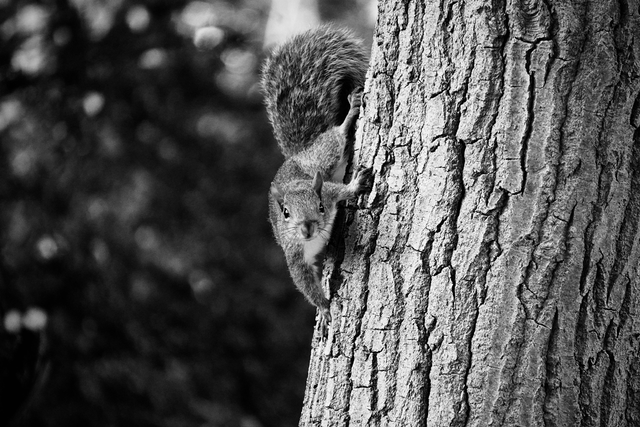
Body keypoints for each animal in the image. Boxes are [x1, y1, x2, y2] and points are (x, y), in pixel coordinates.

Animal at [262, 26, 371, 326]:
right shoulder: (294, 254)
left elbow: (341, 191)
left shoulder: (329, 192)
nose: (307, 228)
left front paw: (356, 185)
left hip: (322, 157)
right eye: (285, 213)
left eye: (321, 206)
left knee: (336, 136)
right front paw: (323, 307)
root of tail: (300, 154)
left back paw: (349, 117)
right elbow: (304, 282)